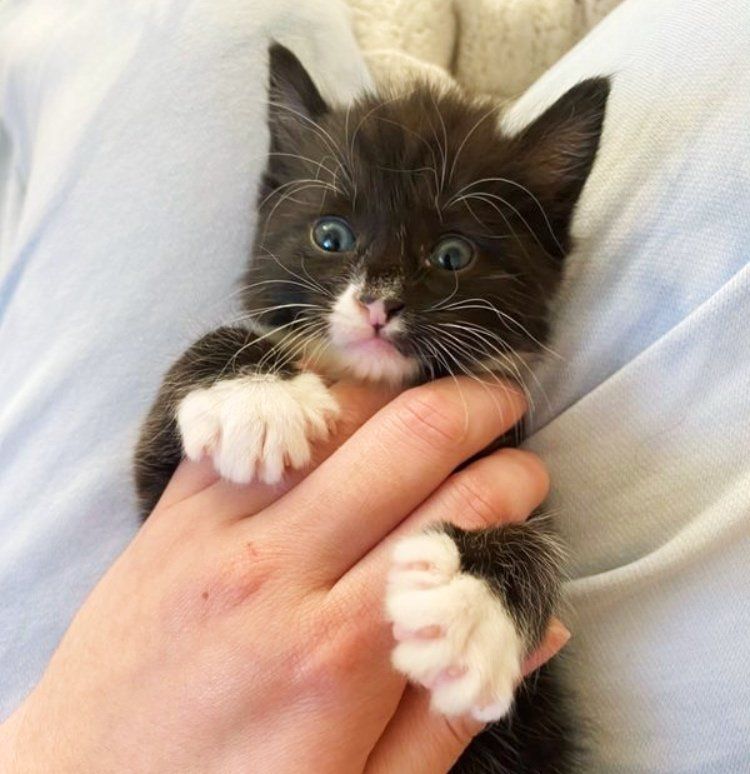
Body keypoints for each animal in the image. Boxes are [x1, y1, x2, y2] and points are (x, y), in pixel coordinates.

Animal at [132, 45, 608, 774]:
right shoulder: (152, 495)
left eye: (453, 254)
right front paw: (254, 397)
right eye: (331, 236)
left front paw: (471, 602)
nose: (379, 303)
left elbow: (542, 542)